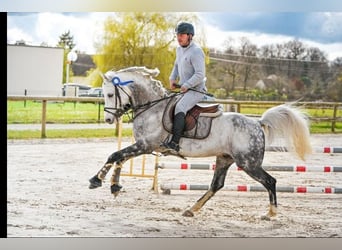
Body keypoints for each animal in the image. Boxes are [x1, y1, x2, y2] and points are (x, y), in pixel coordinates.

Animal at [89, 66, 312, 219]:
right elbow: (120, 158)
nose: (108, 119)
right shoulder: (143, 146)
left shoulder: (146, 145)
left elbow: (115, 155)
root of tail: (258, 123)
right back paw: (191, 209)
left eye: (110, 94)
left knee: (270, 181)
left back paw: (271, 213)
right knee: (216, 185)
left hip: (248, 163)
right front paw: (114, 186)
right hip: (225, 159)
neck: (151, 107)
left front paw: (97, 180)